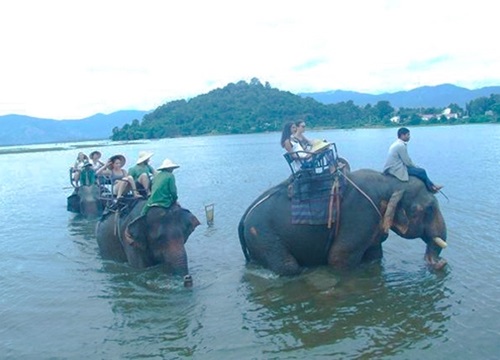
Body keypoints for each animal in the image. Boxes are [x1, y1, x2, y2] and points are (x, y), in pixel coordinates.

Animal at [239, 169, 450, 276]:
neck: (388, 182)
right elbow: (338, 257)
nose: (441, 263)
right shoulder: (361, 215)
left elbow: (375, 256)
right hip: (263, 236)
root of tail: (244, 216)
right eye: (429, 209)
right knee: (288, 267)